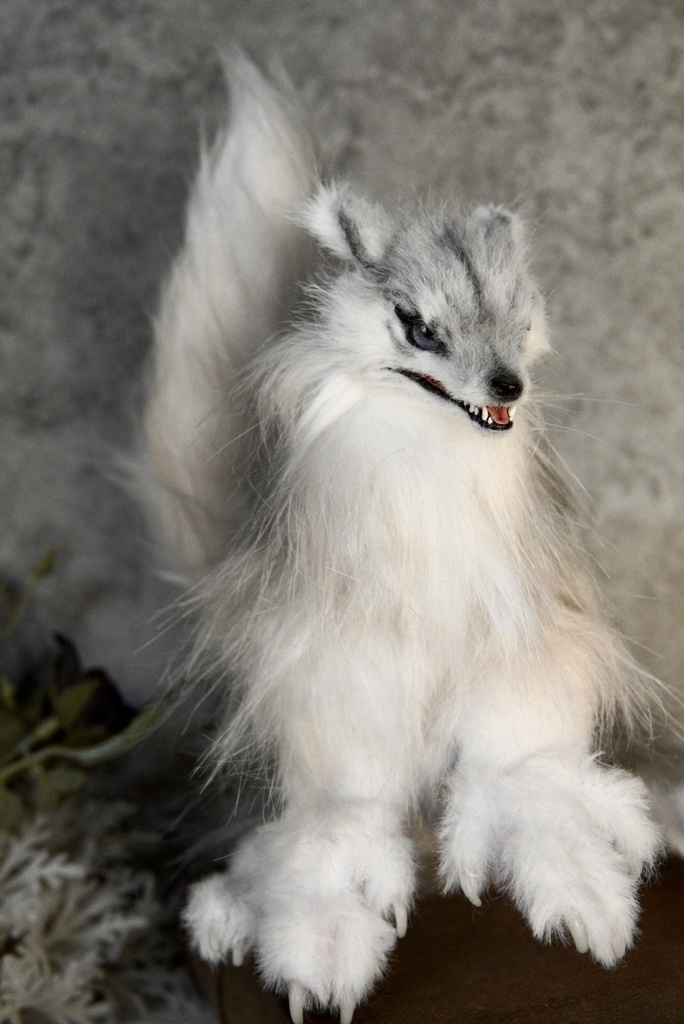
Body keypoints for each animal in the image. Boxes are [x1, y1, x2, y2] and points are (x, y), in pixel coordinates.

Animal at [141, 53, 666, 1023]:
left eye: (518, 320)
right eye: (419, 329)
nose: (507, 384)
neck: (432, 458)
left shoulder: (523, 648)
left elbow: (519, 760)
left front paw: (576, 885)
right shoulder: (343, 677)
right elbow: (348, 805)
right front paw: (323, 937)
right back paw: (248, 911)